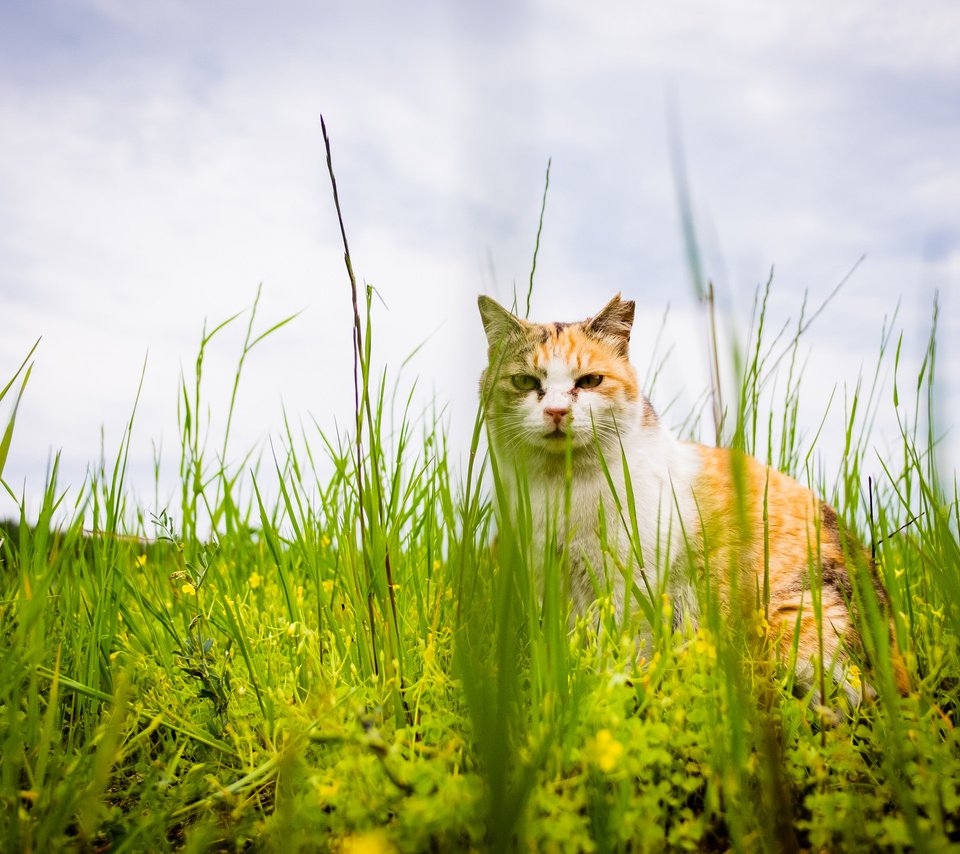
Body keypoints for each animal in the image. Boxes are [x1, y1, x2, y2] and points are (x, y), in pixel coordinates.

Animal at [480, 290, 908, 704]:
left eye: (589, 381)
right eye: (524, 382)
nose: (555, 411)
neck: (562, 489)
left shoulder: (632, 584)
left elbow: (627, 649)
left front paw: (615, 692)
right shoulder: (550, 580)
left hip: (800, 626)